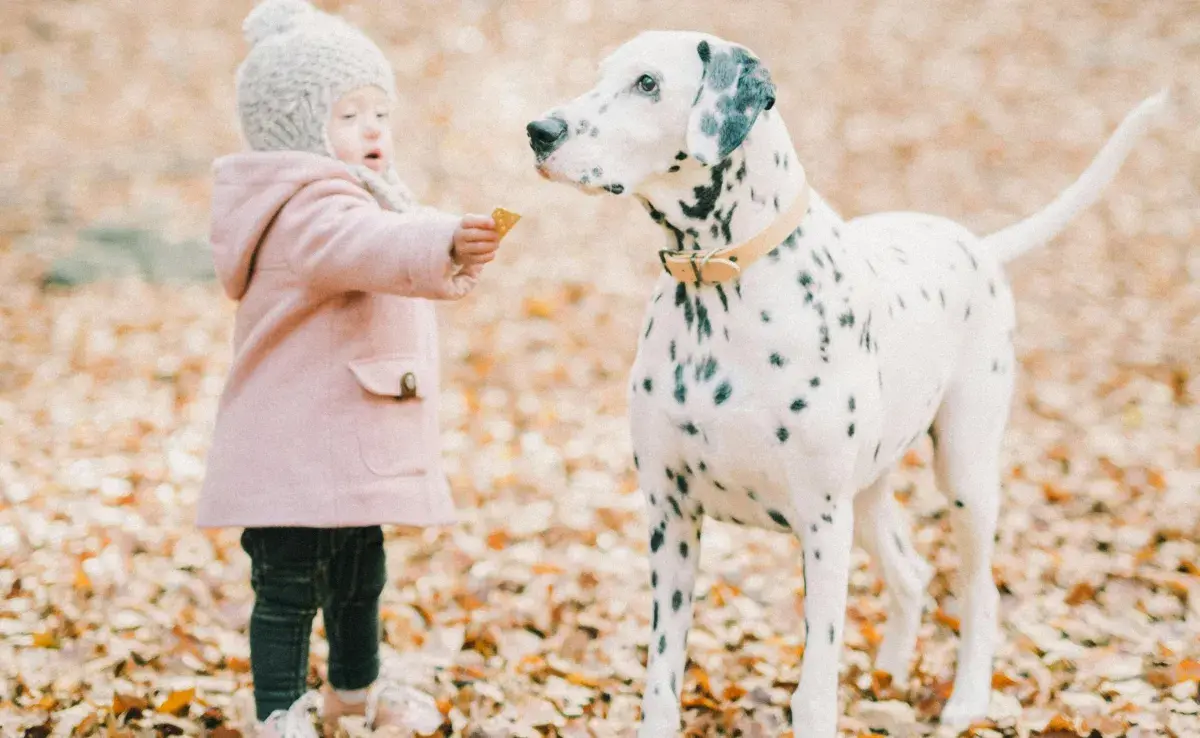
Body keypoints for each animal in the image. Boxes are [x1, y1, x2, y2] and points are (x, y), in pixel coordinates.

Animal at [523, 30, 1161, 738]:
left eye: (647, 83)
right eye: (601, 73)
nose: (539, 131)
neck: (724, 288)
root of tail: (978, 244)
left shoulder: (822, 526)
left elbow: (814, 691)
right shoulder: (670, 515)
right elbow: (661, 680)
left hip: (963, 476)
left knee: (980, 590)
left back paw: (967, 699)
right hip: (869, 492)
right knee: (911, 575)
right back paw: (891, 676)